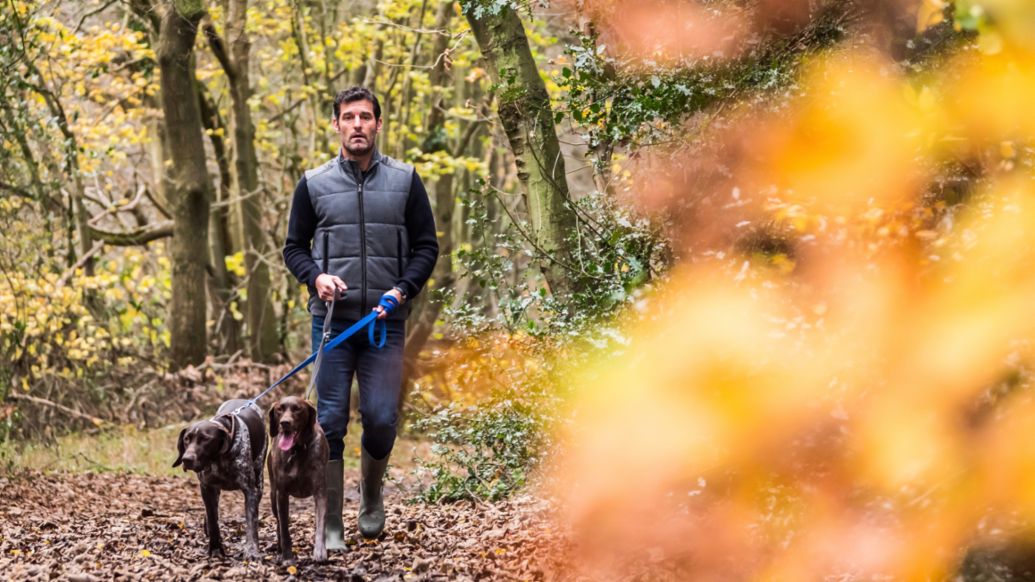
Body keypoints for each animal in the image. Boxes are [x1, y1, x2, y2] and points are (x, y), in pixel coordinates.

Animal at [172, 397, 267, 559]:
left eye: (205, 439)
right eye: (186, 439)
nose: (186, 459)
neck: (218, 458)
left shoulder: (250, 491)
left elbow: (251, 523)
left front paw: (252, 550)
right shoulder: (207, 488)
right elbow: (212, 521)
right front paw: (216, 548)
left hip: (259, 480)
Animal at [267, 391, 327, 559]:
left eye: (297, 409)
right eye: (279, 409)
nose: (285, 423)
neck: (298, 450)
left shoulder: (320, 492)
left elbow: (321, 523)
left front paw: (320, 551)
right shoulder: (281, 494)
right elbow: (284, 527)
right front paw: (287, 555)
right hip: (273, 496)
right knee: (278, 523)